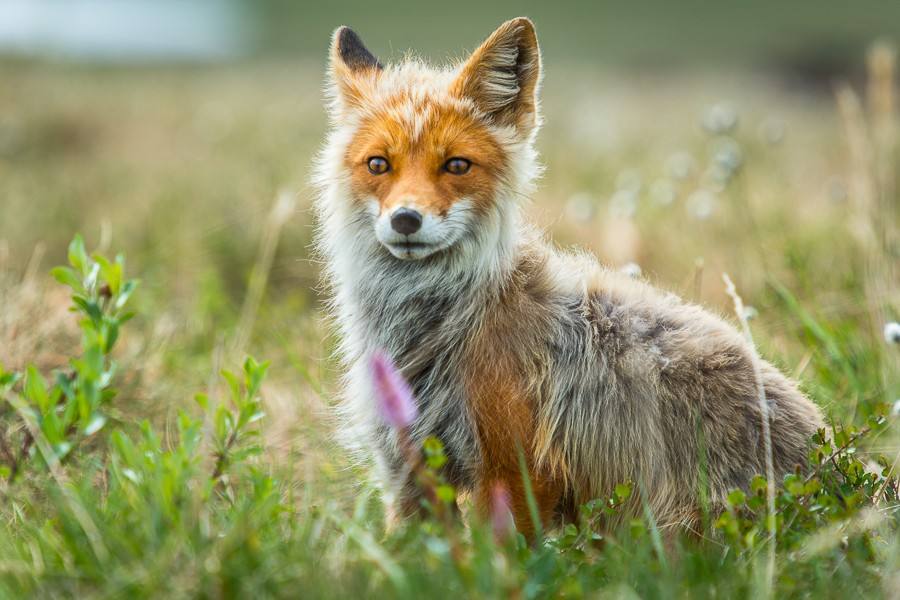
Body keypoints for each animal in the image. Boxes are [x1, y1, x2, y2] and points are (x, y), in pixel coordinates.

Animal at [312, 17, 828, 540]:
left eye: (456, 164)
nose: (405, 220)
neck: (439, 327)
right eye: (379, 164)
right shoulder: (407, 466)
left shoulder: (515, 469)